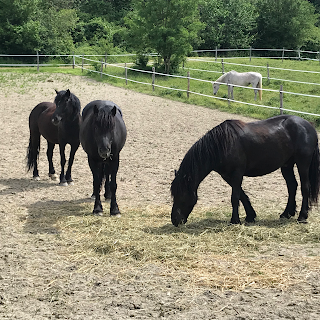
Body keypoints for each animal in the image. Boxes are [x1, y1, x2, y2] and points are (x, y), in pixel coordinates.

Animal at [171, 115, 320, 225]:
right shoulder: (227, 175)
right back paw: (286, 214)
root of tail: (308, 126)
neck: (223, 144)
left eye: (182, 194)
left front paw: (235, 220)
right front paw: (250, 216)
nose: (175, 220)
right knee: (292, 186)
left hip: (303, 164)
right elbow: (241, 194)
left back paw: (302, 216)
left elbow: (235, 197)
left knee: (304, 187)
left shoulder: (237, 173)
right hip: (287, 165)